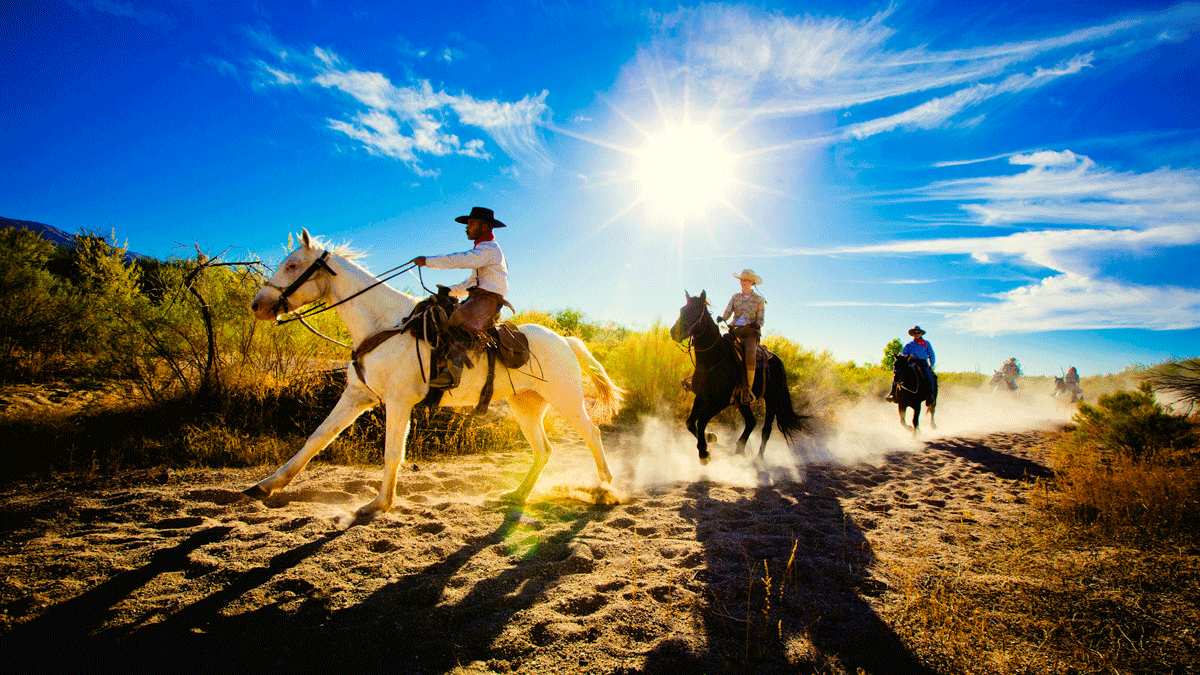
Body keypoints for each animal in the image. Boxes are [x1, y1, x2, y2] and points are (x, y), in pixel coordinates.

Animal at [240, 228, 624, 511]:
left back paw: (605, 490)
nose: (257, 305)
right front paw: (265, 486)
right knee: (543, 450)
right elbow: (317, 437)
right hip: (525, 405)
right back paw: (517, 495)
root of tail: (565, 340)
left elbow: (393, 451)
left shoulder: (398, 401)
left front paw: (380, 503)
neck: (383, 325)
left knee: (592, 435)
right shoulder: (358, 396)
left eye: (292, 265)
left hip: (566, 399)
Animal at [667, 289, 806, 461]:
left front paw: (704, 452)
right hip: (743, 401)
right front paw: (709, 438)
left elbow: (701, 421)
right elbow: (691, 422)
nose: (674, 333)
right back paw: (739, 449)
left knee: (766, 429)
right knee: (751, 422)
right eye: (682, 310)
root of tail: (778, 361)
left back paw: (758, 459)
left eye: (696, 310)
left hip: (772, 399)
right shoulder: (702, 397)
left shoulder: (722, 400)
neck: (713, 360)